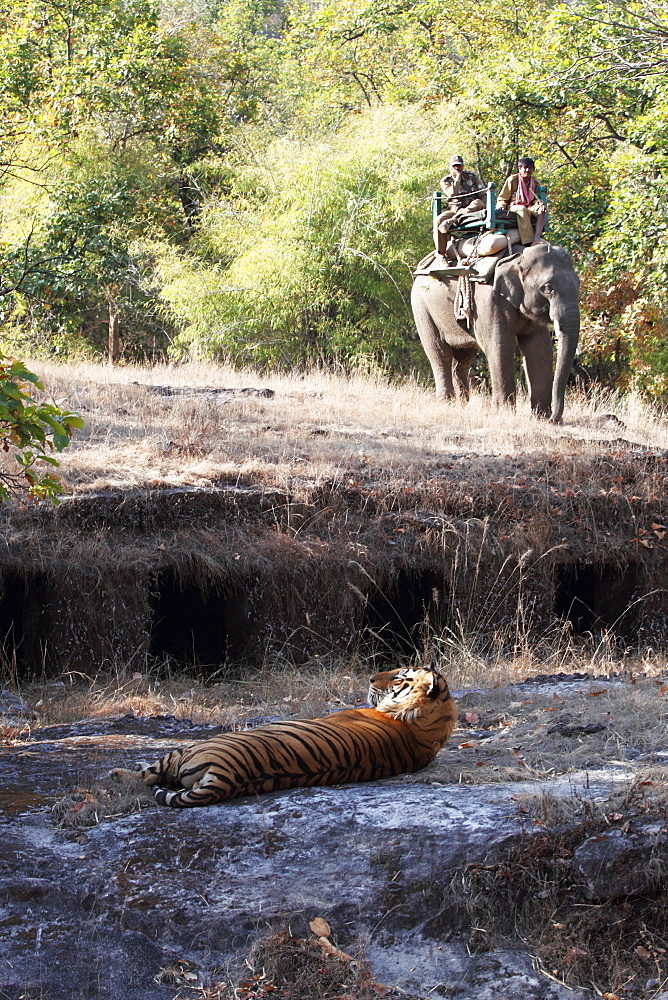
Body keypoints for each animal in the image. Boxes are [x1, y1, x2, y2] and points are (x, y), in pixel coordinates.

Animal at [109, 668, 456, 808]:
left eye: (398, 677)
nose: (370, 678)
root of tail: (228, 776)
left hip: (191, 749)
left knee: (146, 775)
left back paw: (118, 773)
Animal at [408, 246, 580, 426]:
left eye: (578, 285)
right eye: (548, 288)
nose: (555, 420)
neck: (518, 257)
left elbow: (539, 346)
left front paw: (541, 418)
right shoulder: (488, 300)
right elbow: (499, 344)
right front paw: (505, 414)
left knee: (463, 360)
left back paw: (463, 405)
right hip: (421, 308)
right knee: (441, 355)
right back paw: (448, 404)